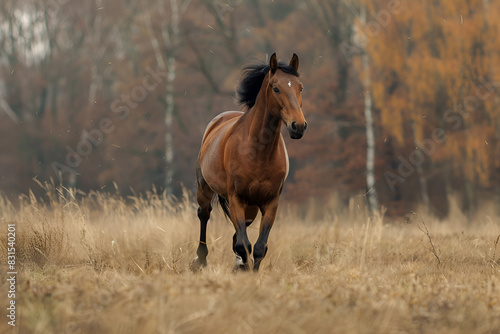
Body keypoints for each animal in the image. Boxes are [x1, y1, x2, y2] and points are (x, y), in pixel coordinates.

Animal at [193, 52, 306, 272]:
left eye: (300, 87)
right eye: (276, 88)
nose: (298, 126)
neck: (259, 153)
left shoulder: (270, 202)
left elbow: (259, 246)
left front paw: (249, 271)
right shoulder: (236, 197)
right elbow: (243, 244)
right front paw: (243, 268)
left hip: (251, 207)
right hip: (205, 188)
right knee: (204, 215)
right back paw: (200, 260)